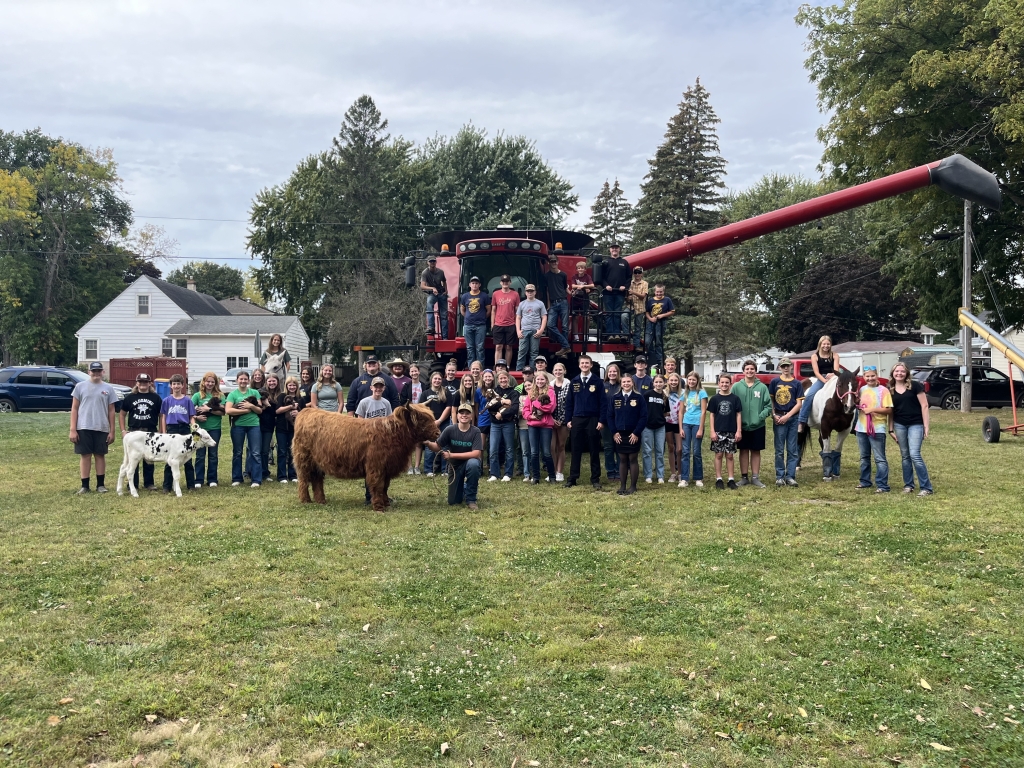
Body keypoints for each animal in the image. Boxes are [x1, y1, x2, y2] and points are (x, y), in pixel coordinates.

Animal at [294, 403, 442, 512]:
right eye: (422, 419)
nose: (438, 433)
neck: (392, 434)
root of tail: (306, 411)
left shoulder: (387, 468)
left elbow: (385, 487)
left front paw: (386, 503)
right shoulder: (376, 467)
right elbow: (377, 486)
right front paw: (379, 507)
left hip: (317, 463)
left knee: (317, 480)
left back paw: (321, 500)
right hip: (304, 460)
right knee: (304, 480)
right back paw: (305, 500)